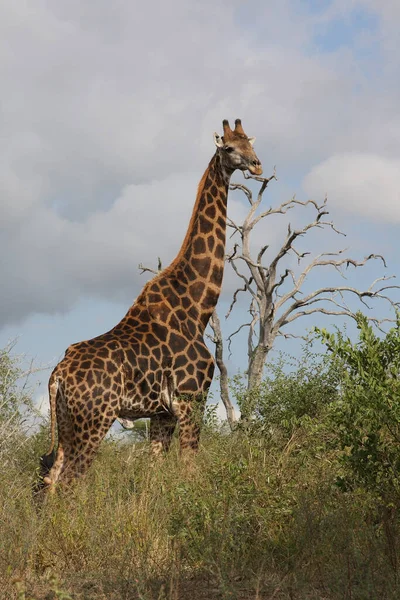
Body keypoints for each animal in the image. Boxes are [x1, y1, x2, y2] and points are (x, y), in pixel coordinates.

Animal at [39, 118, 260, 492]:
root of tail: (59, 374)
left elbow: (155, 477)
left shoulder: (162, 413)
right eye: (230, 148)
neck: (196, 308)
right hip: (95, 420)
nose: (257, 165)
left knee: (51, 480)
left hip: (68, 423)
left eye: (251, 143)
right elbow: (189, 469)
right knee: (70, 482)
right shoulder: (191, 398)